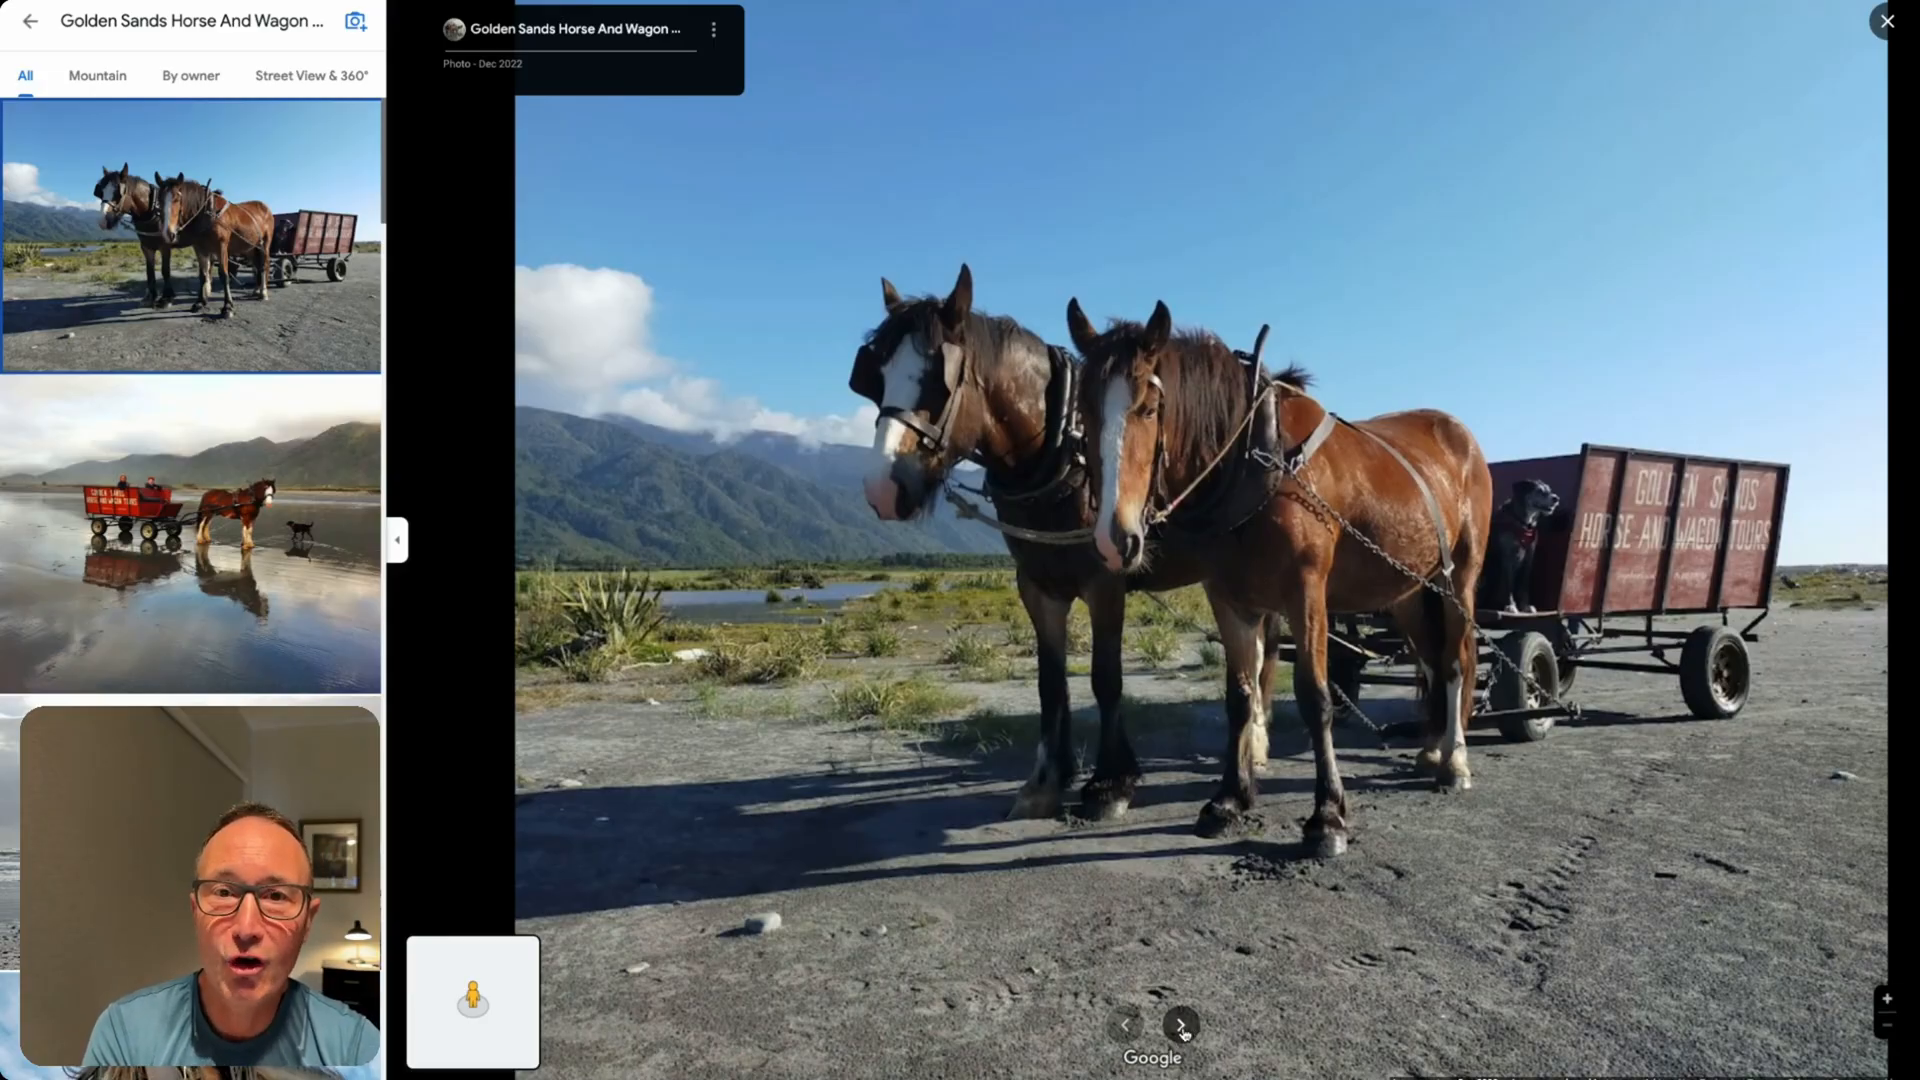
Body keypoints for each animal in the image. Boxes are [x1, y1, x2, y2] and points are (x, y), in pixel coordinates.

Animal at [94, 164, 198, 309]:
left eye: (118, 193)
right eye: (101, 191)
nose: (102, 221)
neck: (152, 212)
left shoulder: (165, 246)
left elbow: (165, 270)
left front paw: (167, 298)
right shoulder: (146, 247)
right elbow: (149, 271)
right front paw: (151, 296)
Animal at [155, 172, 273, 318]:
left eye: (177, 198)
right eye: (159, 200)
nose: (168, 233)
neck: (206, 213)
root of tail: (266, 208)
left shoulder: (221, 247)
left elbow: (224, 275)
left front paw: (228, 307)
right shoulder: (200, 249)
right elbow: (203, 275)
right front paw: (200, 302)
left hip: (264, 245)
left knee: (263, 266)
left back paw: (263, 292)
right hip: (251, 248)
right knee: (256, 266)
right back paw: (256, 289)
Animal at [848, 263, 1286, 821]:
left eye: (937, 381)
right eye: (875, 376)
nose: (882, 490)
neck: (1057, 453)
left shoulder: (1106, 580)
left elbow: (1105, 678)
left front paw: (1111, 783)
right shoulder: (1037, 587)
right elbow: (1050, 683)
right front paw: (1047, 780)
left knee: (1264, 648)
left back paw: (1258, 740)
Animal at [1068, 297, 1494, 856]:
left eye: (1148, 408)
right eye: (1085, 410)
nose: (1113, 539)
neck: (1254, 459)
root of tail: (1460, 434)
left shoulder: (1305, 592)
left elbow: (1315, 697)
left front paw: (1327, 816)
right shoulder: (1228, 597)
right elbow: (1241, 697)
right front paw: (1229, 799)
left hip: (1458, 577)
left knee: (1456, 662)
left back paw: (1455, 760)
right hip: (1408, 589)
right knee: (1431, 658)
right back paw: (1433, 750)